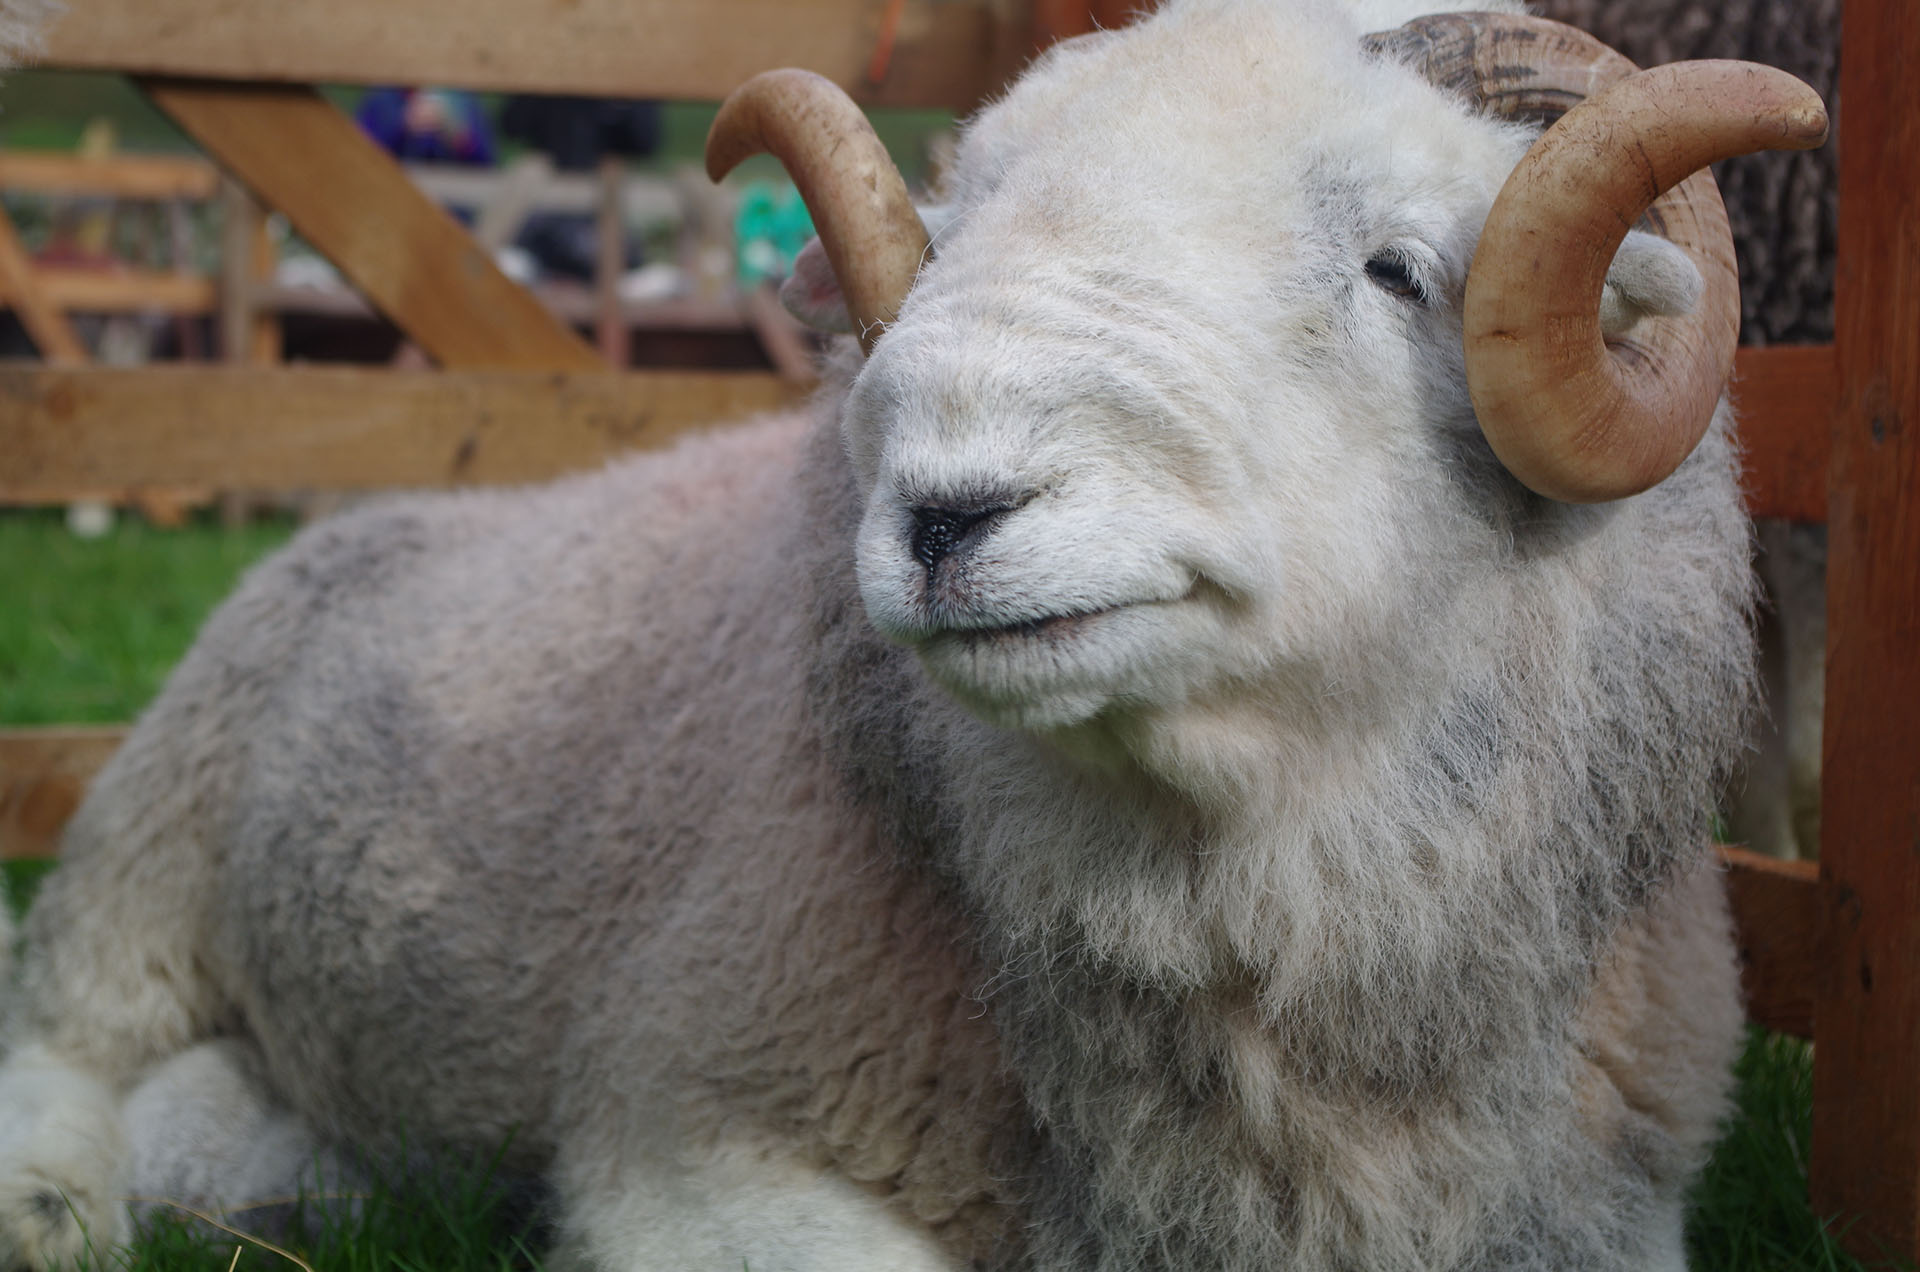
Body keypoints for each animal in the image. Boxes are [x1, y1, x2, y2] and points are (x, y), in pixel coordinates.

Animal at [0, 0, 1827, 1268]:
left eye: (1396, 269)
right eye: (950, 239)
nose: (948, 508)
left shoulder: (1603, 1196)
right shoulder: (694, 1126)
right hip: (145, 849)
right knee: (60, 1035)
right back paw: (57, 1201)